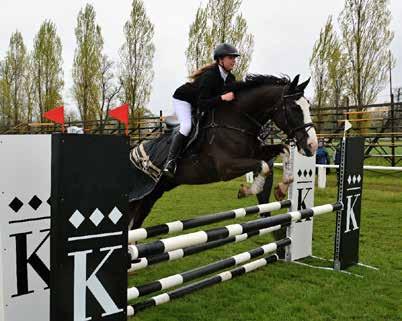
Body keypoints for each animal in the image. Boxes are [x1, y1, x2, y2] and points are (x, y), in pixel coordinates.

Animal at [129, 73, 318, 228]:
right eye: (295, 108)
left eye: (308, 106)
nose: (313, 145)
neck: (237, 121)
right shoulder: (226, 167)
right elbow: (263, 166)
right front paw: (246, 191)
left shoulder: (255, 153)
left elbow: (283, 150)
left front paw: (282, 188)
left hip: (152, 195)